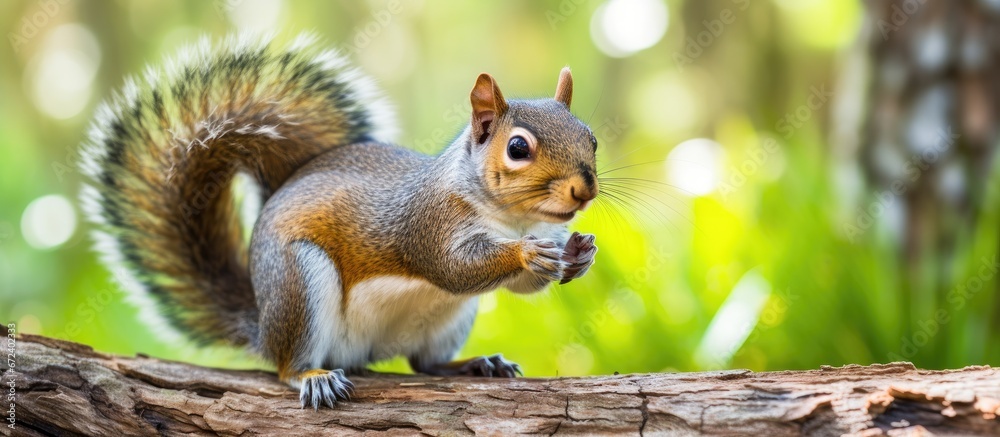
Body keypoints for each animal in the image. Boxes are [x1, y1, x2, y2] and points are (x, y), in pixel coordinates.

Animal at [82, 35, 596, 408]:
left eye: (590, 137)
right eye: (517, 148)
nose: (584, 189)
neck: (513, 219)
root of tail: (261, 324)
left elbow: (524, 283)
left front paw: (578, 253)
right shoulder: (426, 222)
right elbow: (453, 268)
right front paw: (525, 254)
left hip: (449, 320)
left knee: (424, 364)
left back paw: (476, 364)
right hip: (299, 282)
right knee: (286, 366)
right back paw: (312, 376)